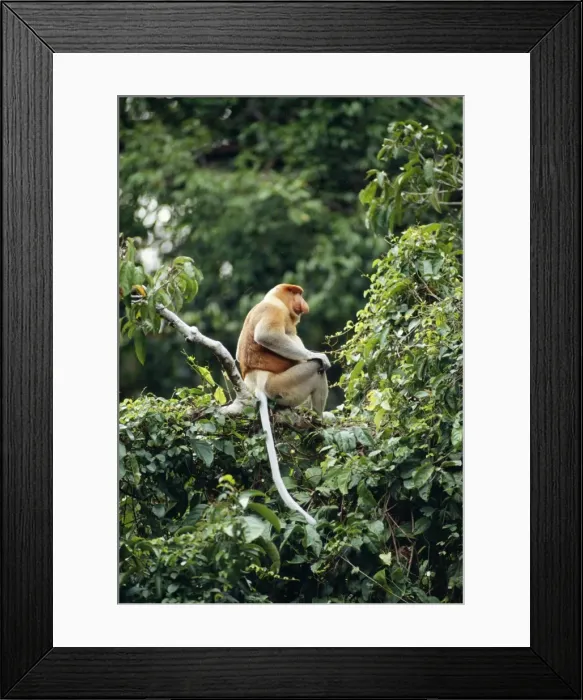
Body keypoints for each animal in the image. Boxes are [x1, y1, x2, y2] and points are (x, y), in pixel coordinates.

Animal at [236, 284, 330, 526]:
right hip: (281, 386)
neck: (273, 299)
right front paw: (319, 355)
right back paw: (318, 420)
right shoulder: (275, 310)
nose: (303, 302)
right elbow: (267, 335)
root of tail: (256, 384)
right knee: (315, 369)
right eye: (297, 293)